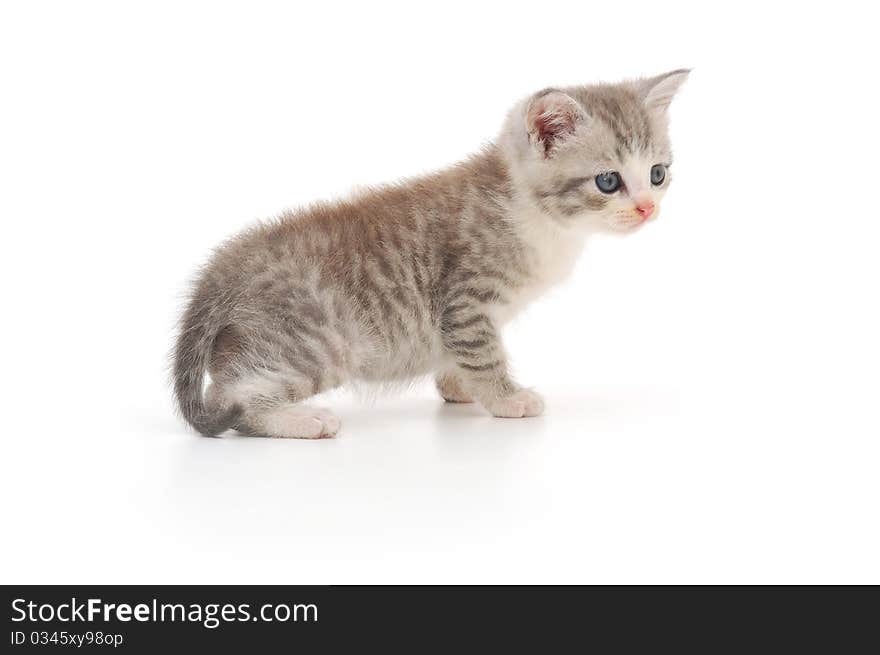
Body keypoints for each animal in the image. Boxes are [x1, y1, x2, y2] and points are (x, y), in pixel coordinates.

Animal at [175, 70, 692, 440]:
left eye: (658, 173)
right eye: (608, 180)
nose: (647, 208)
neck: (534, 213)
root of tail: (219, 273)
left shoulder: (470, 315)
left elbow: (465, 354)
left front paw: (459, 388)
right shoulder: (466, 301)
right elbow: (483, 352)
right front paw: (506, 398)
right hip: (319, 343)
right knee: (234, 401)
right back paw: (301, 420)